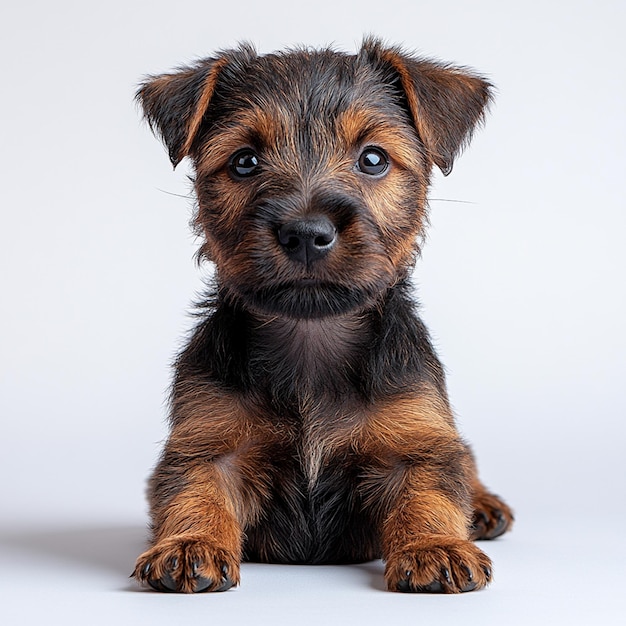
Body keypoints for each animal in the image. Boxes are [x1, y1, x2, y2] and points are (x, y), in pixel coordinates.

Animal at [132, 36, 512, 592]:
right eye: (245, 161)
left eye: (372, 159)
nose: (307, 232)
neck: (312, 339)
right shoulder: (208, 440)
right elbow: (194, 494)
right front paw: (189, 545)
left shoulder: (416, 437)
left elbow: (430, 495)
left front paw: (434, 547)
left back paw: (483, 505)